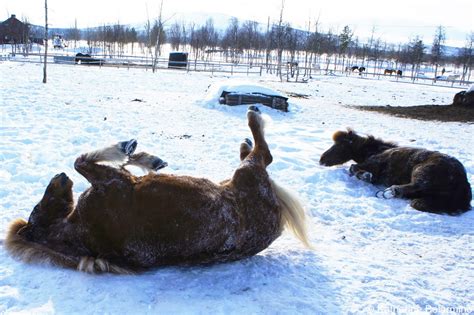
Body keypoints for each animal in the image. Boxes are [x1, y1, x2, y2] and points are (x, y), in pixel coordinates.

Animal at [7, 107, 312, 274]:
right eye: (37, 208)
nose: (59, 178)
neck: (78, 230)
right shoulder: (115, 181)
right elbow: (82, 160)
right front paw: (127, 147)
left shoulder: (120, 179)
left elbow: (116, 162)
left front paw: (148, 160)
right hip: (247, 174)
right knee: (263, 154)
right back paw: (252, 119)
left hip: (236, 176)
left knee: (257, 153)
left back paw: (244, 142)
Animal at [320, 128, 472, 215]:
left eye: (340, 145)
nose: (321, 160)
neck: (376, 150)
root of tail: (463, 183)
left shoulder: (373, 164)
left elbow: (353, 168)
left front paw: (366, 176)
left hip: (420, 173)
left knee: (414, 187)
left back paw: (387, 192)